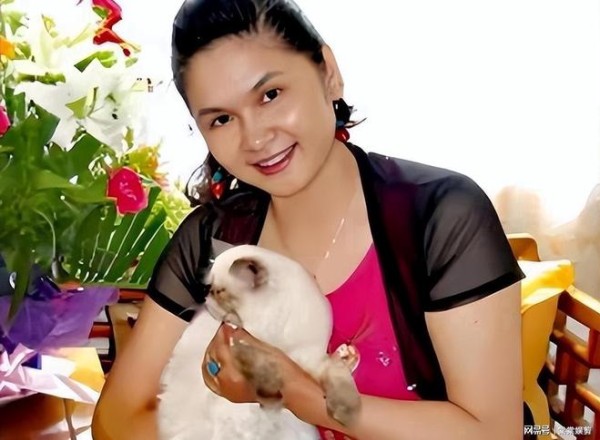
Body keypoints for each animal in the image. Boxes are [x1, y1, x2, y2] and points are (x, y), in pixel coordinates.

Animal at [157, 244, 360, 440]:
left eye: (219, 292)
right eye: (208, 289)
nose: (207, 297)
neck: (277, 337)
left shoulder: (310, 357)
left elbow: (339, 380)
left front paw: (347, 412)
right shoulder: (242, 340)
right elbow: (266, 367)